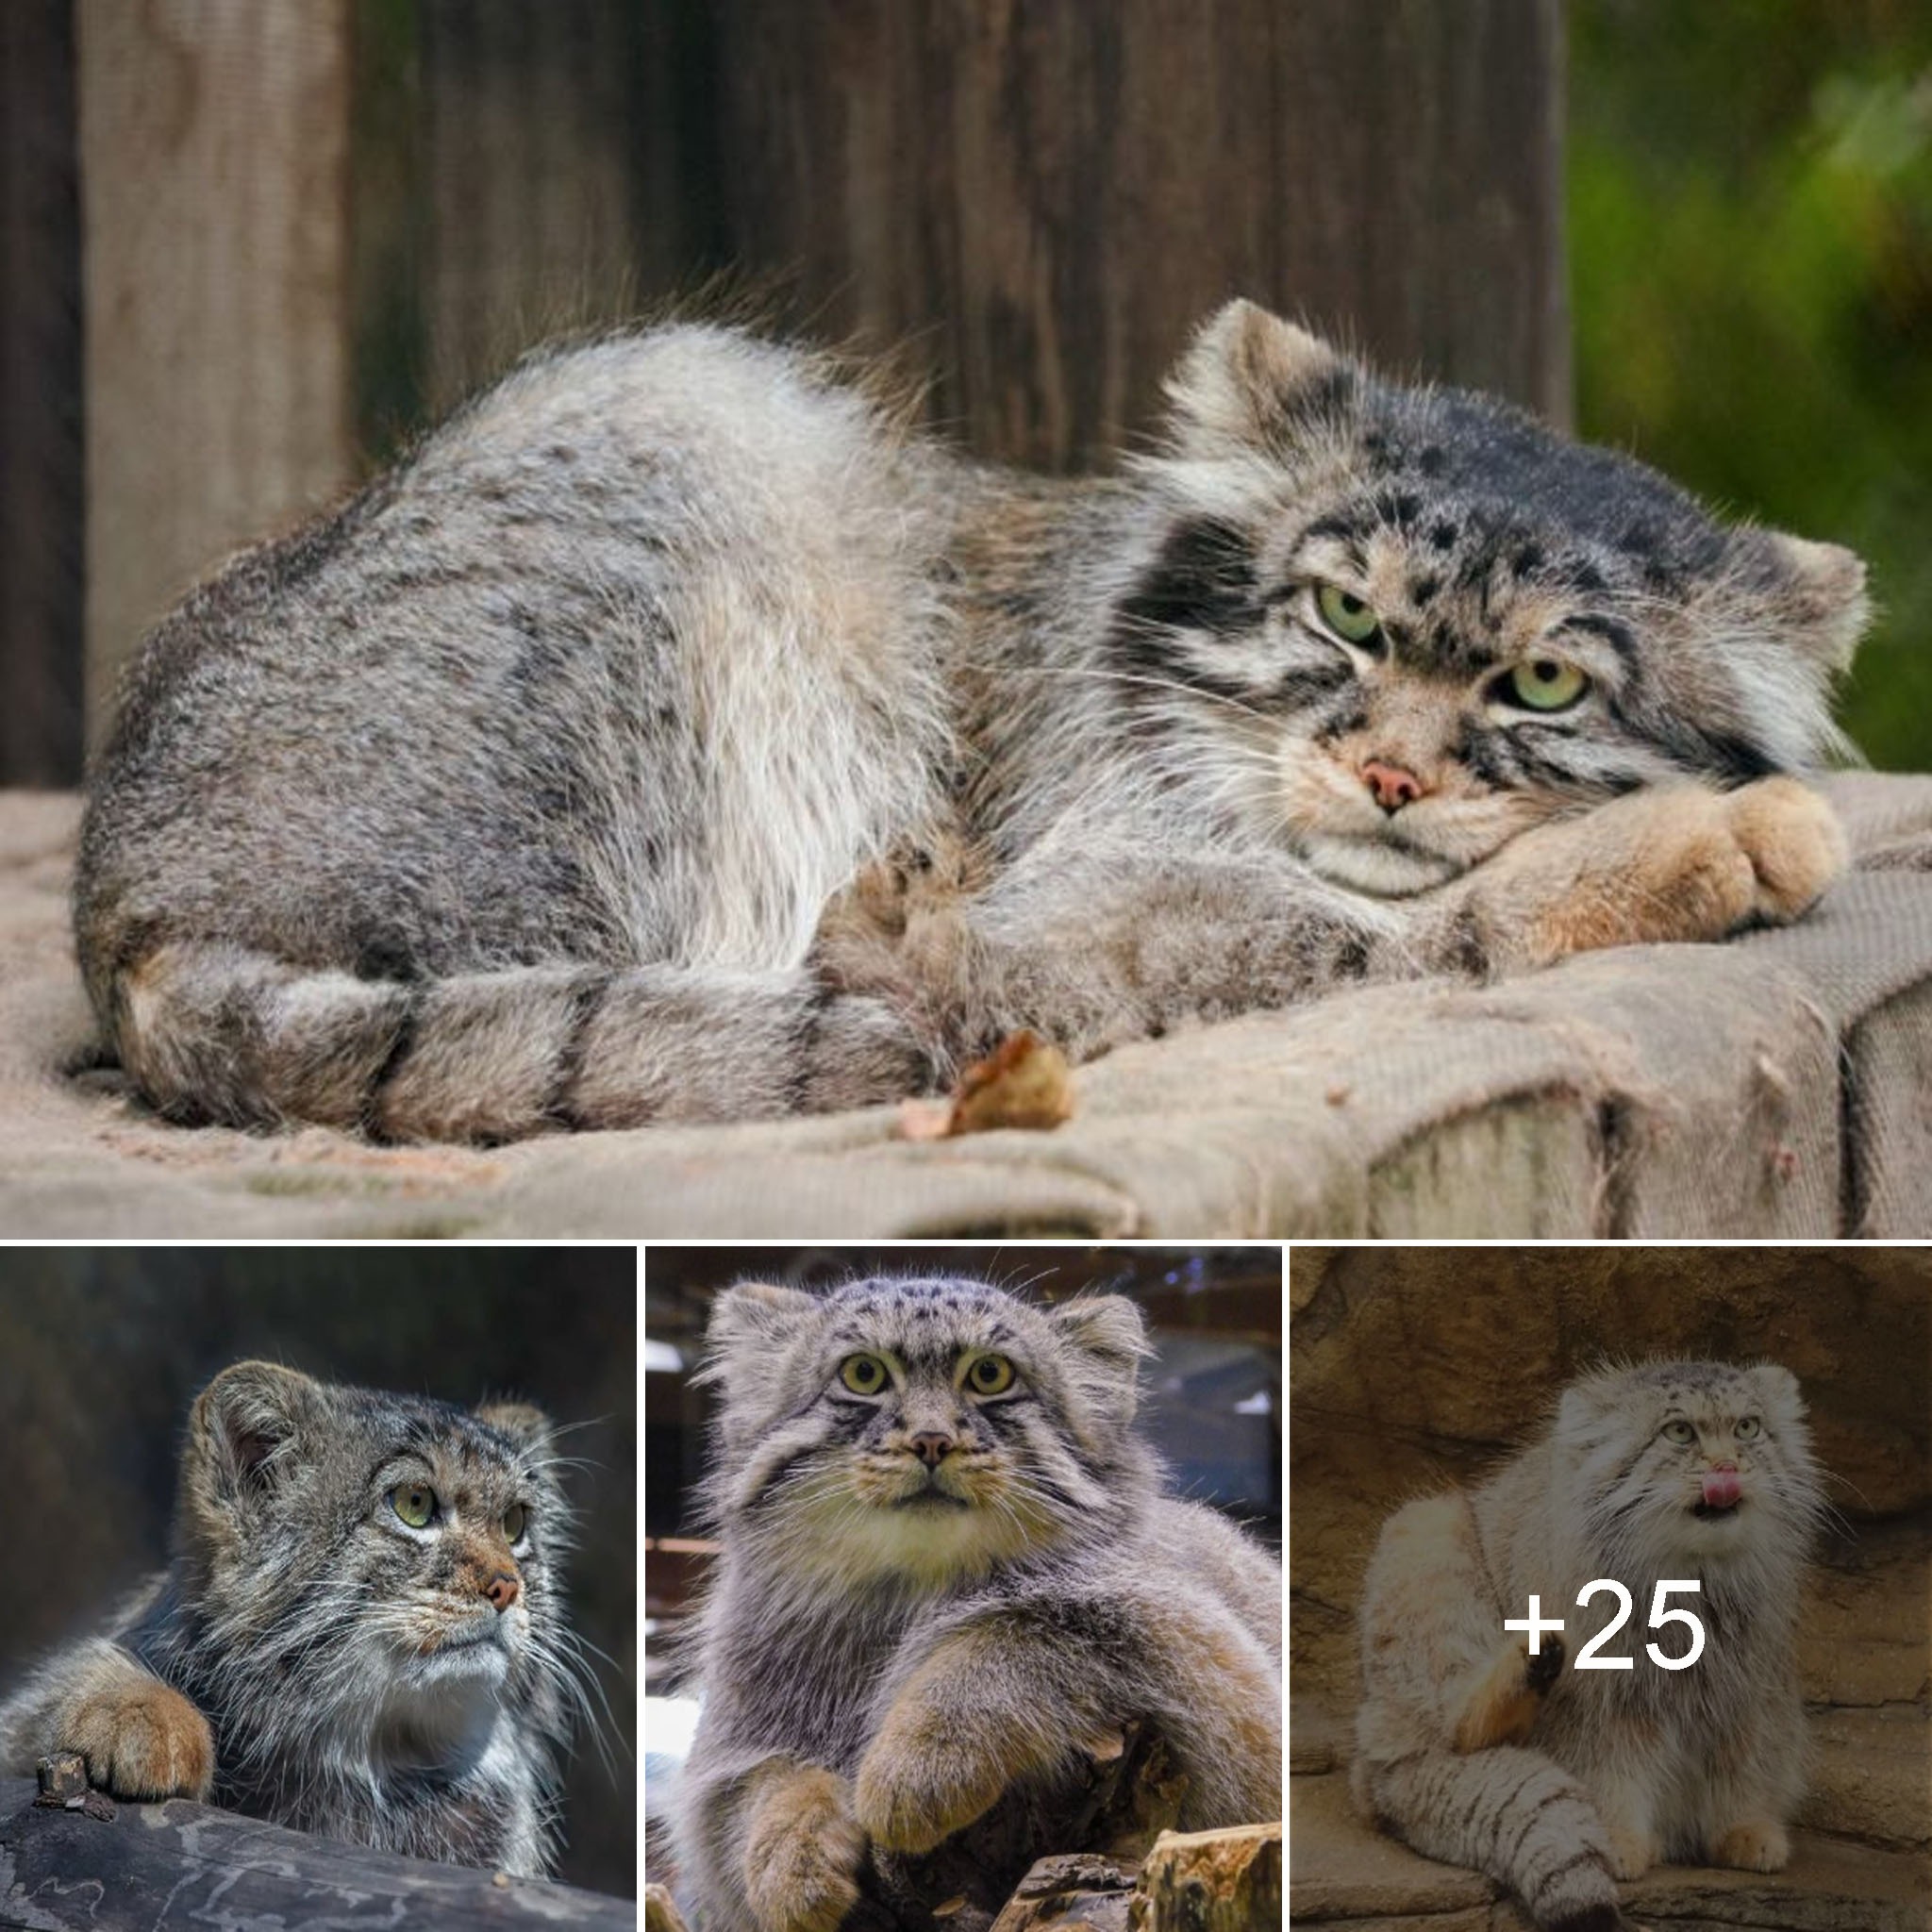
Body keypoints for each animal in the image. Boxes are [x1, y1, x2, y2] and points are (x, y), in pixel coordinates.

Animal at [78, 301, 1870, 1136]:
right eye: (1344, 616)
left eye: (1543, 683)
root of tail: (122, 911)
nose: (1384, 774)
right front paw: (1704, 840)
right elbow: (1401, 930)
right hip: (690, 413)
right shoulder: (1102, 889)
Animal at [672, 1282, 1291, 1932]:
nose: (931, 1440)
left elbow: (1007, 1636)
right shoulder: (730, 1753)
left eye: (990, 1375)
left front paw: (912, 1766)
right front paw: (791, 1856)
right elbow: (763, 1787)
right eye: (864, 1374)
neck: (915, 1592)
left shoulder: (1203, 1661)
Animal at [1344, 1359, 1824, 1932]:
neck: (1692, 1580)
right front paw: (1618, 1839)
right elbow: (1607, 1764)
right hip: (1425, 1536)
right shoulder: (1602, 1699)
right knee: (1454, 1730)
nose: (1728, 1468)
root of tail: (1373, 1759)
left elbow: (1746, 1754)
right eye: (1679, 1432)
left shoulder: (1750, 1682)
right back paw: (1525, 1664)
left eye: (1748, 1428)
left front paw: (1746, 1828)